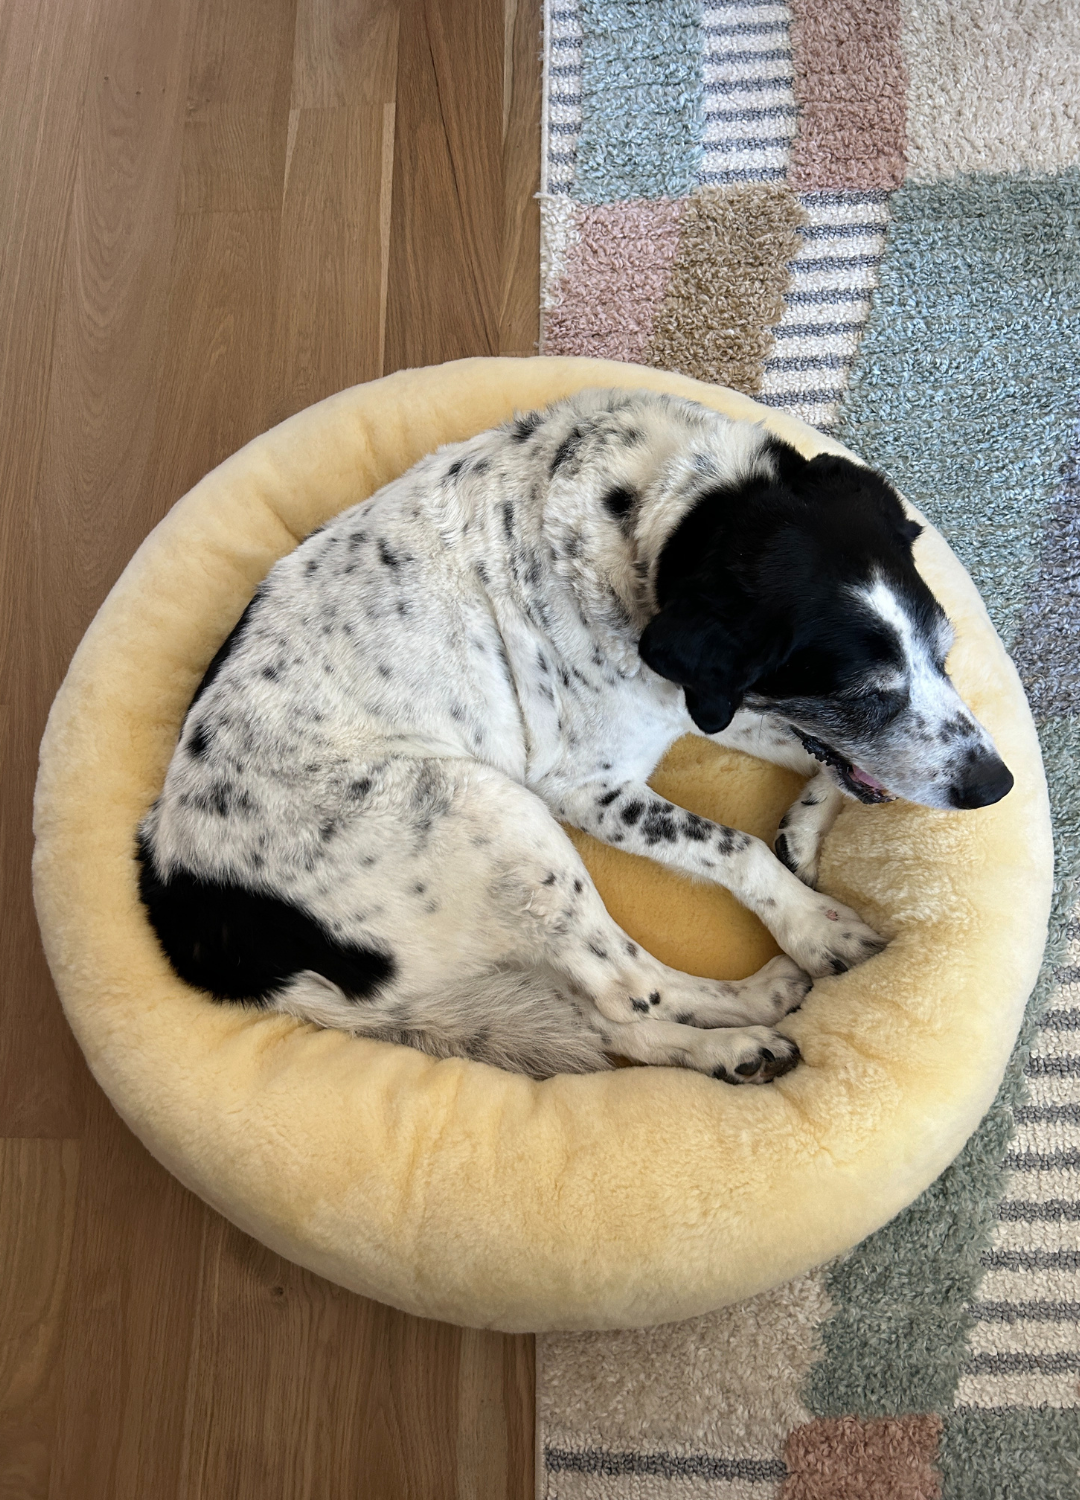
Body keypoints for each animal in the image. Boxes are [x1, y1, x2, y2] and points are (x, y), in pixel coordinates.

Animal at [135, 390, 1014, 1080]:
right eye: (868, 692)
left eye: (944, 652)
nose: (995, 786)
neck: (669, 506)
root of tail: (203, 928)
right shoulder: (588, 786)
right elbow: (734, 846)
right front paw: (812, 922)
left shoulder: (707, 700)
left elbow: (821, 761)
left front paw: (807, 823)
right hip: (492, 810)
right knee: (629, 990)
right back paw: (758, 998)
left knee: (611, 1015)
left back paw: (734, 1045)